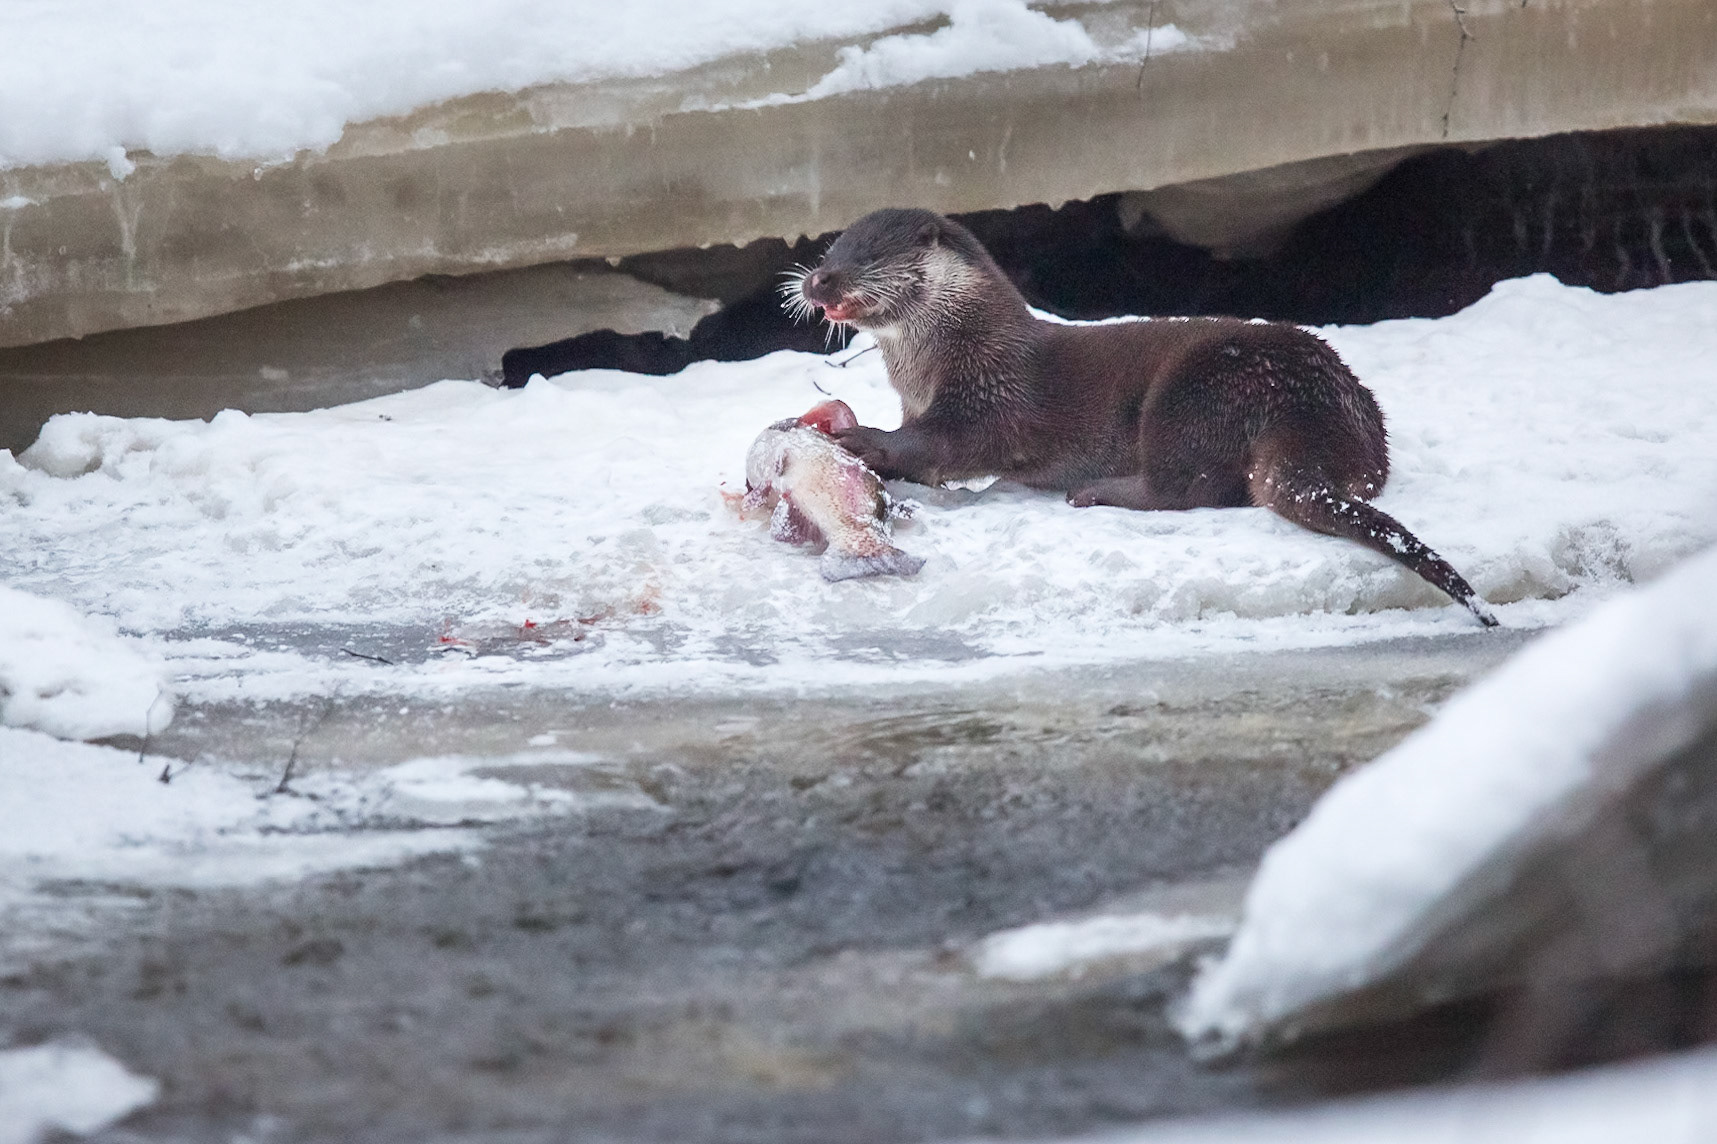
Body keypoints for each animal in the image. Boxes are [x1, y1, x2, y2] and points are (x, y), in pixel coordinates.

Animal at [788, 208, 1497, 626]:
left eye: (865, 257)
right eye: (829, 250)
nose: (818, 281)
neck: (950, 349)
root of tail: (1312, 400)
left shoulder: (987, 396)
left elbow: (944, 445)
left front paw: (862, 439)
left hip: (1193, 392)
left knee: (1191, 486)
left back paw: (1095, 491)